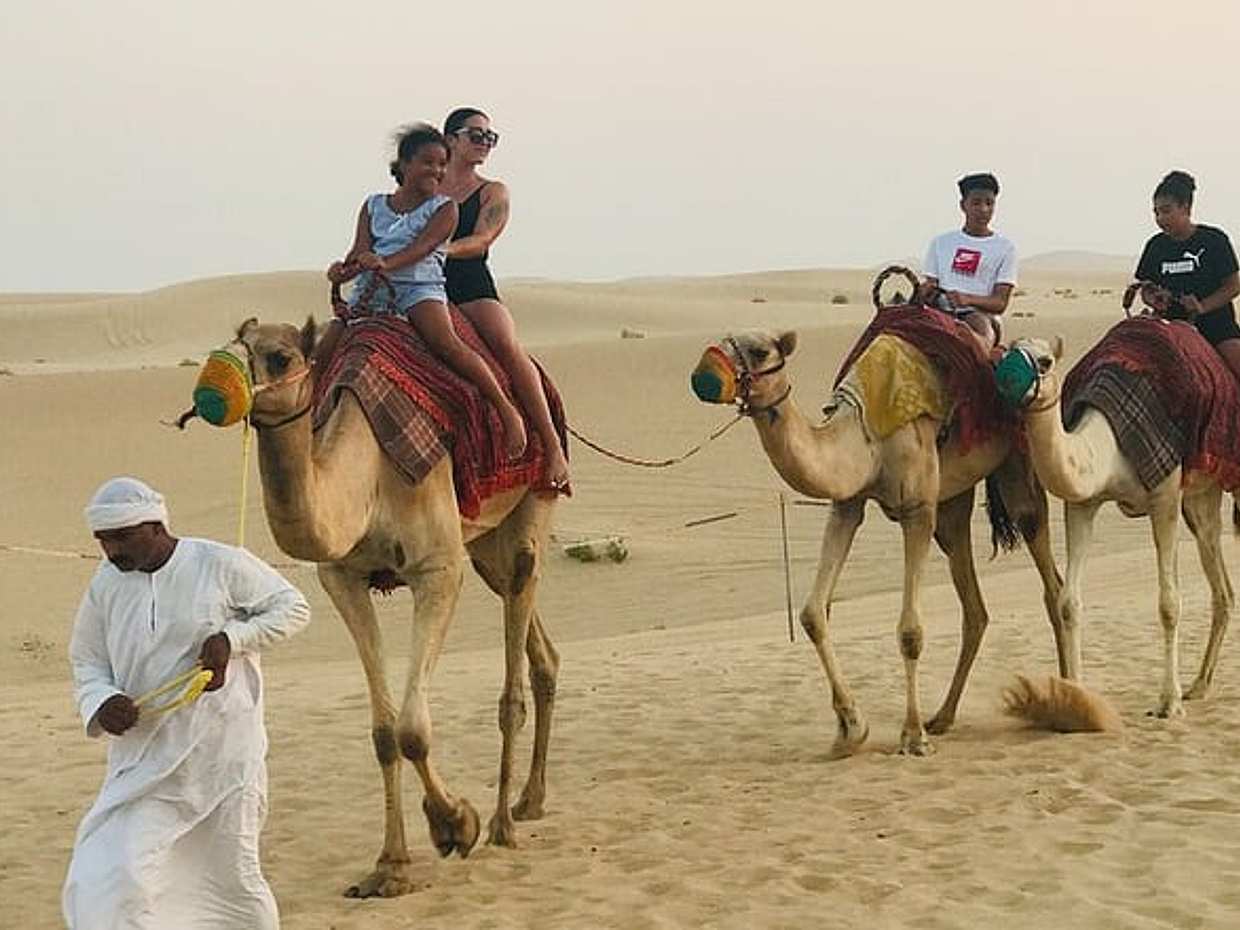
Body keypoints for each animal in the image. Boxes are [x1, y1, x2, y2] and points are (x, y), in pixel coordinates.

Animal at [219, 317, 559, 897]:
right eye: (234, 346)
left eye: (281, 356)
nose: (223, 392)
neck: (368, 476)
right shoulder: (343, 578)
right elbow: (383, 734)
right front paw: (389, 866)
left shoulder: (438, 569)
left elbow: (412, 730)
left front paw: (455, 825)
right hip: (483, 546)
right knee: (542, 653)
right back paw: (530, 800)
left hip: (529, 508)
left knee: (515, 662)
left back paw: (502, 823)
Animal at [691, 329, 1067, 756]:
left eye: (758, 351)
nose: (703, 372)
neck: (863, 434)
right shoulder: (847, 503)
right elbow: (812, 614)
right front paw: (851, 729)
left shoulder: (917, 508)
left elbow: (910, 632)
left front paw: (912, 736)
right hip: (953, 502)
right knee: (975, 608)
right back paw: (943, 717)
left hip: (1017, 464)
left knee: (1049, 576)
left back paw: (1069, 699)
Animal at [1001, 335, 1234, 718]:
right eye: (1006, 350)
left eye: (1045, 361)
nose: (1004, 379)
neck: (1109, 447)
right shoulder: (1082, 502)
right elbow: (1068, 603)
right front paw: (1076, 700)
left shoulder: (1164, 494)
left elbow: (1168, 604)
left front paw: (1168, 703)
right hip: (1203, 495)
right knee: (1220, 579)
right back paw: (1199, 685)